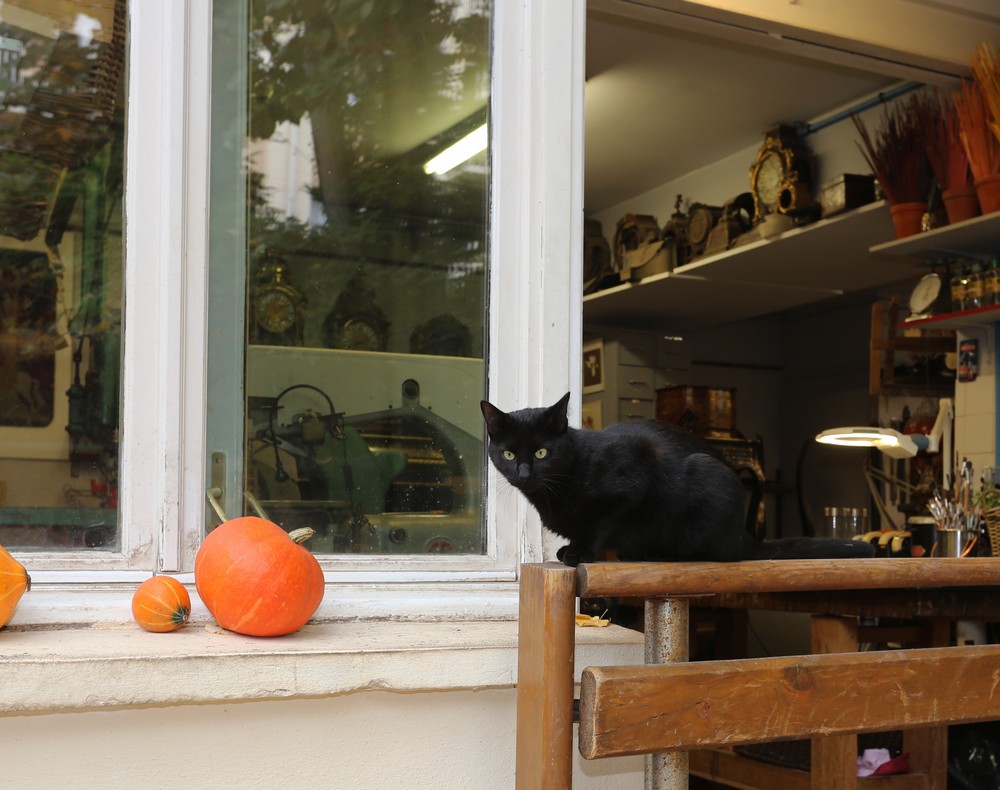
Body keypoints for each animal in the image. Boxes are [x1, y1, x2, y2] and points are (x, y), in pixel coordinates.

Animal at [480, 392, 872, 568]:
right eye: (509, 455)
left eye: (542, 452)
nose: (525, 473)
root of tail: (744, 537)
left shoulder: (633, 481)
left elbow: (599, 525)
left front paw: (580, 553)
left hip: (708, 483)